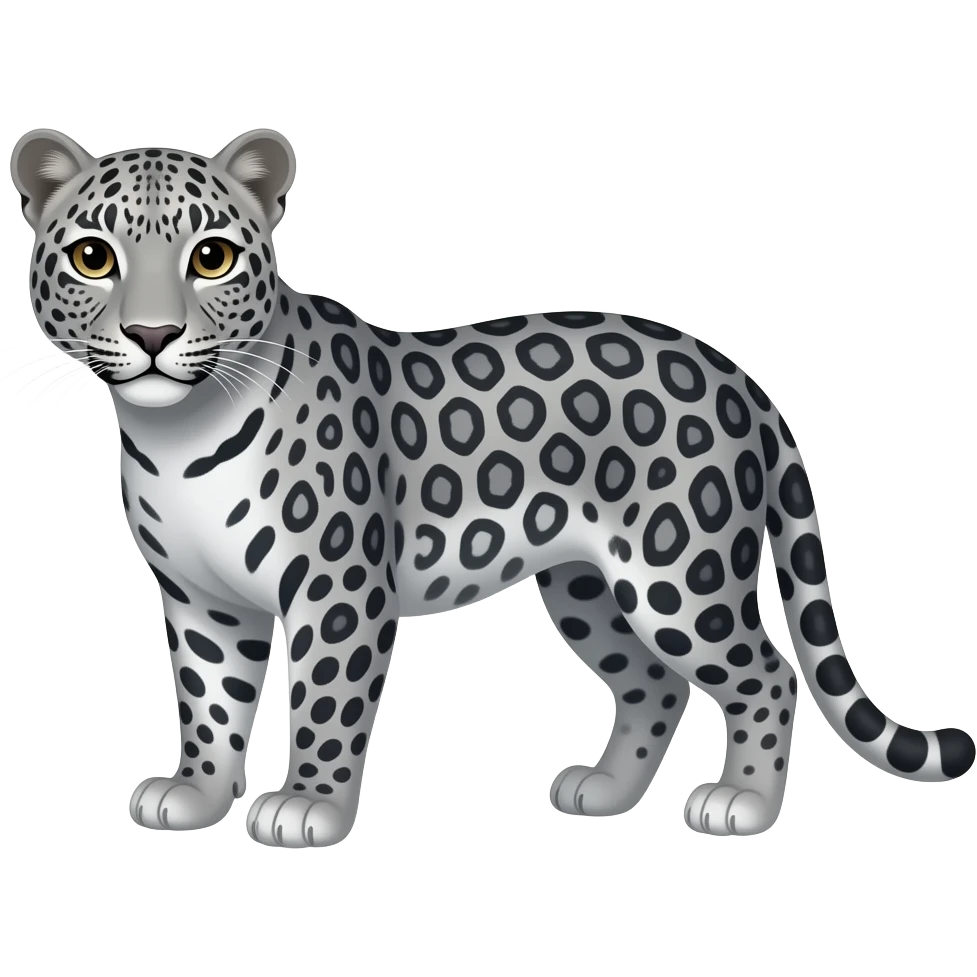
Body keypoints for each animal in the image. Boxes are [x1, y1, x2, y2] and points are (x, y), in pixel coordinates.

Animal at [11, 127, 975, 848]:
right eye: (94, 257)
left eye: (210, 257)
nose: (152, 334)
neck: (180, 432)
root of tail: (735, 374)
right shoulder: (201, 600)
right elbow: (209, 705)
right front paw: (198, 796)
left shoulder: (337, 586)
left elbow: (327, 699)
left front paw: (308, 805)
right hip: (587, 586)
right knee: (651, 685)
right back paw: (603, 790)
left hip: (678, 577)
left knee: (765, 672)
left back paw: (740, 801)